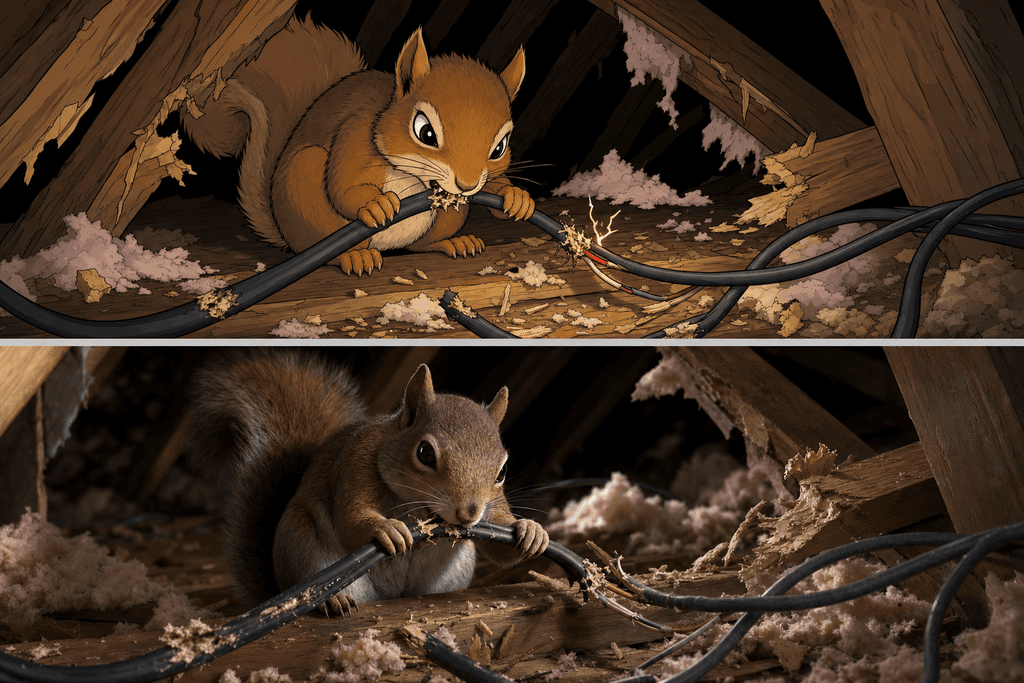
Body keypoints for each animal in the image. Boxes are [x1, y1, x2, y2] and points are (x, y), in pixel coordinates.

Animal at [180, 15, 535, 277]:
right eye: (425, 132)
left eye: (500, 147)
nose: (467, 184)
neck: (415, 178)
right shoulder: (354, 136)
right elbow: (343, 186)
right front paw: (375, 204)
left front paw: (515, 197)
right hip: (304, 190)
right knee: (322, 248)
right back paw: (353, 257)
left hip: (447, 219)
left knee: (422, 244)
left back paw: (454, 243)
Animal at [186, 349, 548, 615]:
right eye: (425, 453)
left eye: (501, 472)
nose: (468, 513)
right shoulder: (356, 464)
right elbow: (351, 521)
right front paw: (386, 529)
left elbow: (498, 543)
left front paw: (530, 530)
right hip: (299, 541)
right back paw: (331, 601)